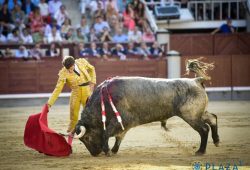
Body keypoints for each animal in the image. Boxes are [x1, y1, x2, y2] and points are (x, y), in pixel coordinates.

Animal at [75, 58, 220, 157]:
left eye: (86, 138)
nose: (94, 154)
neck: (103, 100)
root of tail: (196, 80)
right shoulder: (125, 124)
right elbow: (119, 137)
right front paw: (114, 150)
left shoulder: (119, 120)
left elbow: (107, 134)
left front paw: (108, 151)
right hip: (198, 113)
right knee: (212, 118)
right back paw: (216, 141)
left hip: (190, 116)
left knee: (204, 129)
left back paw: (200, 151)